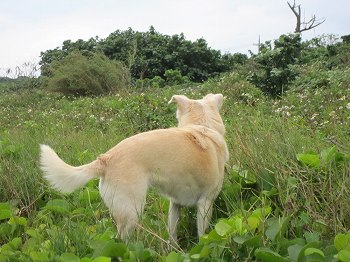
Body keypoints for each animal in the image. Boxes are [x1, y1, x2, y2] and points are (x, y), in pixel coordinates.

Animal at [39, 93, 230, 242]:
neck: (202, 126)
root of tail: (105, 159)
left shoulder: (174, 205)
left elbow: (172, 235)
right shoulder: (206, 204)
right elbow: (203, 237)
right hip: (132, 212)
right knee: (120, 243)